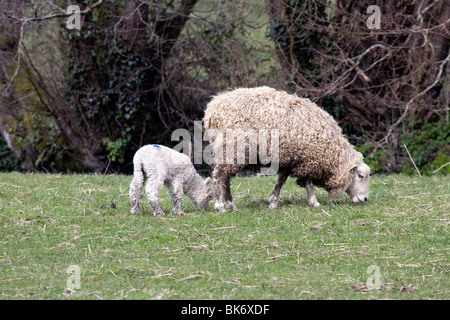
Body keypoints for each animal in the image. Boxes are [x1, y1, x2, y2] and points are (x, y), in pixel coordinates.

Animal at [204, 87, 370, 211]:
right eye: (360, 176)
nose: (365, 199)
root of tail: (213, 108)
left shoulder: (288, 158)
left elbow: (281, 180)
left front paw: (273, 201)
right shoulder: (307, 159)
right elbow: (307, 181)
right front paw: (314, 201)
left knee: (225, 177)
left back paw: (231, 205)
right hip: (232, 147)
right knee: (219, 175)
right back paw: (220, 205)